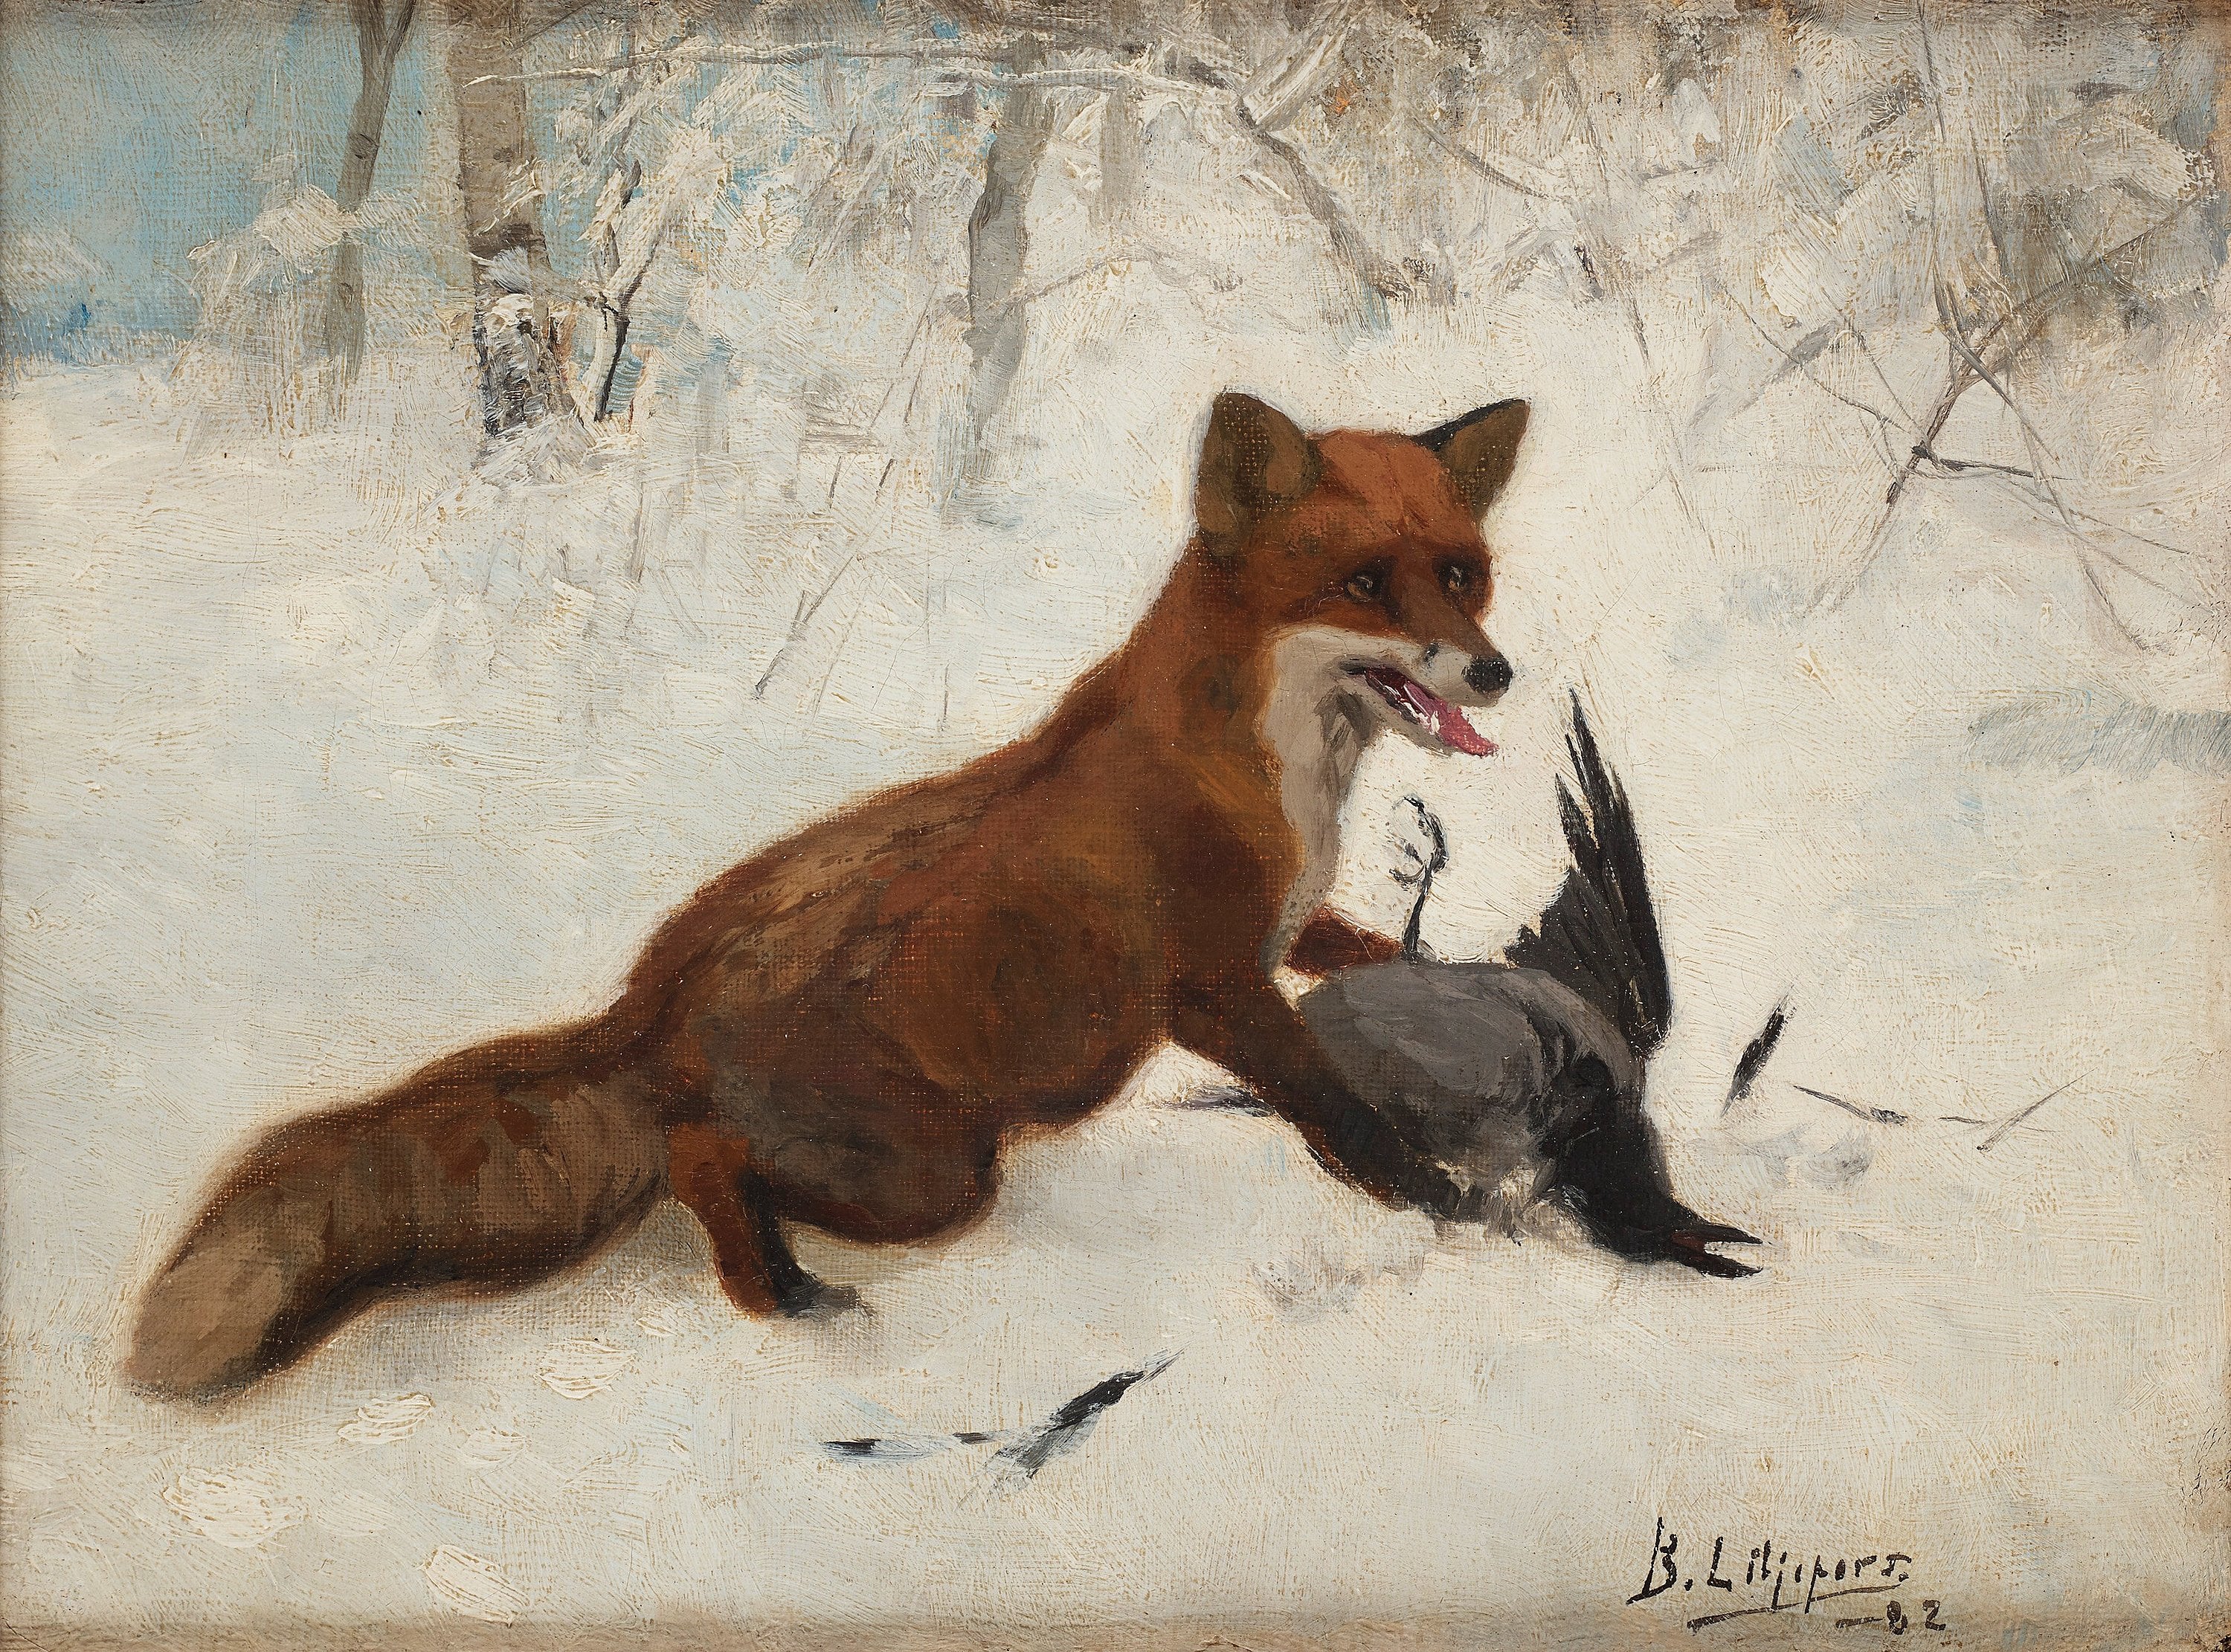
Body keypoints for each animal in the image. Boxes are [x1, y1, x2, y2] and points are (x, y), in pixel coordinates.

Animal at [127, 390, 1531, 1399]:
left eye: (1462, 572)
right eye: (1364, 583)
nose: (1495, 671)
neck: (1271, 770)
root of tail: (650, 1002)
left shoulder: (1295, 930)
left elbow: (1380, 954)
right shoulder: (1216, 989)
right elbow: (1341, 1111)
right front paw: (1444, 1202)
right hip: (939, 1178)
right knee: (702, 1159)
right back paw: (788, 1294)